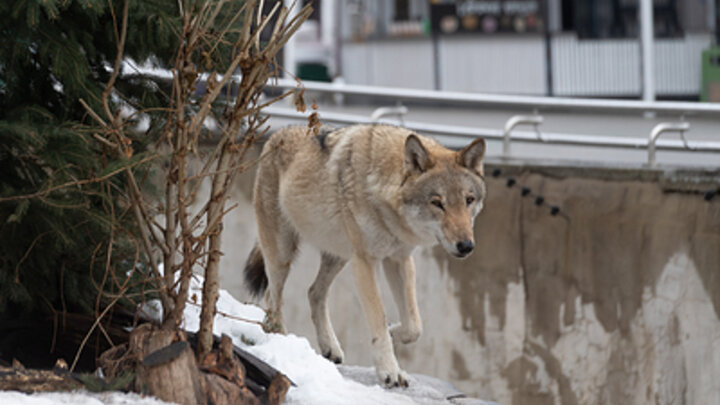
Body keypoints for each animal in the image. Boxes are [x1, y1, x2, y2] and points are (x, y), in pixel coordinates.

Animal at [245, 124, 486, 386]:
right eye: (437, 203)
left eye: (469, 200)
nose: (466, 246)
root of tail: (277, 135)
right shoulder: (366, 262)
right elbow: (378, 318)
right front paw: (390, 371)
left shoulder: (400, 259)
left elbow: (414, 326)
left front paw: (394, 331)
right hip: (282, 254)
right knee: (272, 297)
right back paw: (281, 339)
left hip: (338, 255)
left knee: (313, 292)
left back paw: (330, 347)